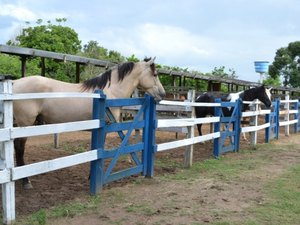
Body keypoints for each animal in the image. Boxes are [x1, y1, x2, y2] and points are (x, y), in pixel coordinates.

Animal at [12, 57, 166, 189]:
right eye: (155, 74)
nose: (163, 94)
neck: (110, 92)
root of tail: (15, 83)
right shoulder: (106, 126)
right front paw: (94, 178)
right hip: (25, 124)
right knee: (19, 149)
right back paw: (26, 182)